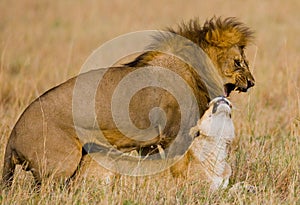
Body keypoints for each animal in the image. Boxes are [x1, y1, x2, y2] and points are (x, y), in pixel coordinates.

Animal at [1, 16, 255, 185]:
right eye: (239, 62)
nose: (252, 82)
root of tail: (13, 136)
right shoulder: (174, 135)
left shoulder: (150, 143)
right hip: (61, 163)